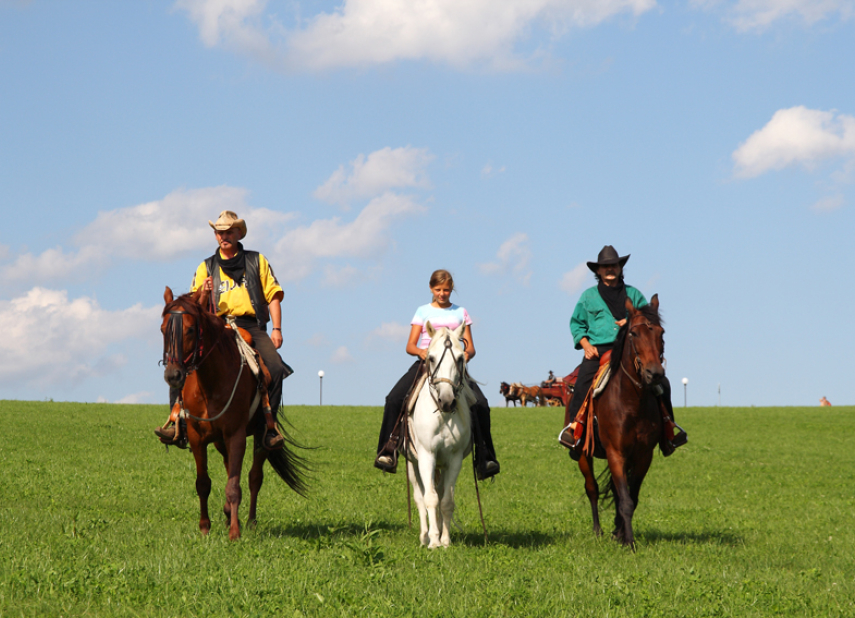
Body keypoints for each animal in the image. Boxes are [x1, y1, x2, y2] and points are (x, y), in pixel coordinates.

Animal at [160, 286, 308, 536]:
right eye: (162, 329)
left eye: (190, 329)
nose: (173, 375)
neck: (211, 383)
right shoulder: (197, 437)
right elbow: (203, 483)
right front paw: (205, 529)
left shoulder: (236, 435)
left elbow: (234, 485)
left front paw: (235, 534)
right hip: (220, 441)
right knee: (230, 466)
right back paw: (229, 514)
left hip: (259, 438)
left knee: (254, 477)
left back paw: (249, 522)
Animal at [406, 320, 478, 548]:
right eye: (431, 358)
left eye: (461, 358)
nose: (447, 401)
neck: (443, 415)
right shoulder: (426, 456)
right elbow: (429, 498)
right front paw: (433, 541)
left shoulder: (454, 459)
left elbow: (446, 500)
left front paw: (445, 541)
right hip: (412, 464)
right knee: (420, 496)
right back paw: (424, 536)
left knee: (439, 492)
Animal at [576, 294, 668, 548]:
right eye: (634, 333)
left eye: (661, 333)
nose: (654, 373)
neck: (632, 401)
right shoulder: (615, 452)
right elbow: (624, 500)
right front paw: (630, 543)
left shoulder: (643, 455)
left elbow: (630, 498)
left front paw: (621, 535)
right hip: (583, 453)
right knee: (592, 488)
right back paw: (597, 531)